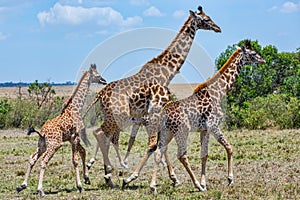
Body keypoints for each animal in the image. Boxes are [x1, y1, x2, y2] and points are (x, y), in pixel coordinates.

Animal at [15, 64, 106, 197]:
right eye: (97, 75)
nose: (104, 80)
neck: (76, 108)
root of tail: (42, 132)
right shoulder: (75, 137)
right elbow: (75, 160)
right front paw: (80, 186)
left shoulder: (71, 138)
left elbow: (83, 152)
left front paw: (87, 179)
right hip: (55, 144)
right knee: (44, 161)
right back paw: (40, 190)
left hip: (42, 145)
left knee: (32, 158)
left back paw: (22, 186)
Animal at [86, 6, 220, 188]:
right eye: (205, 19)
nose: (218, 28)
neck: (167, 73)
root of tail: (100, 93)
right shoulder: (155, 110)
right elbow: (158, 144)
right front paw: (171, 178)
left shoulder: (155, 113)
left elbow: (160, 144)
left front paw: (174, 178)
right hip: (117, 116)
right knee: (101, 134)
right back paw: (106, 175)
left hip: (111, 116)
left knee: (103, 135)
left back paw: (104, 176)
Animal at [149, 39, 266, 193]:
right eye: (253, 53)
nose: (263, 60)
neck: (219, 92)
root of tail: (162, 115)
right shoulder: (213, 126)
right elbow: (229, 148)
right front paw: (230, 180)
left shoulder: (204, 129)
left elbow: (204, 155)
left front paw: (204, 183)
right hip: (182, 131)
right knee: (181, 155)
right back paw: (196, 185)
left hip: (166, 132)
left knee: (159, 152)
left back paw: (153, 186)